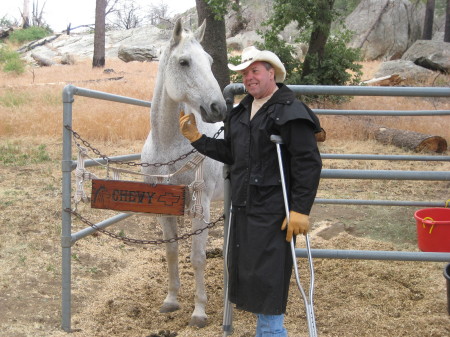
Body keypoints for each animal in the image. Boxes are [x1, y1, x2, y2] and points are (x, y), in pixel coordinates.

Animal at [141, 17, 227, 326]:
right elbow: (171, 251)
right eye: (184, 61)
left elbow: (198, 256)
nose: (218, 108)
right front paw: (171, 300)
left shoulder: (200, 206)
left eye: (210, 61)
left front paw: (199, 312)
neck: (169, 145)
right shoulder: (164, 206)